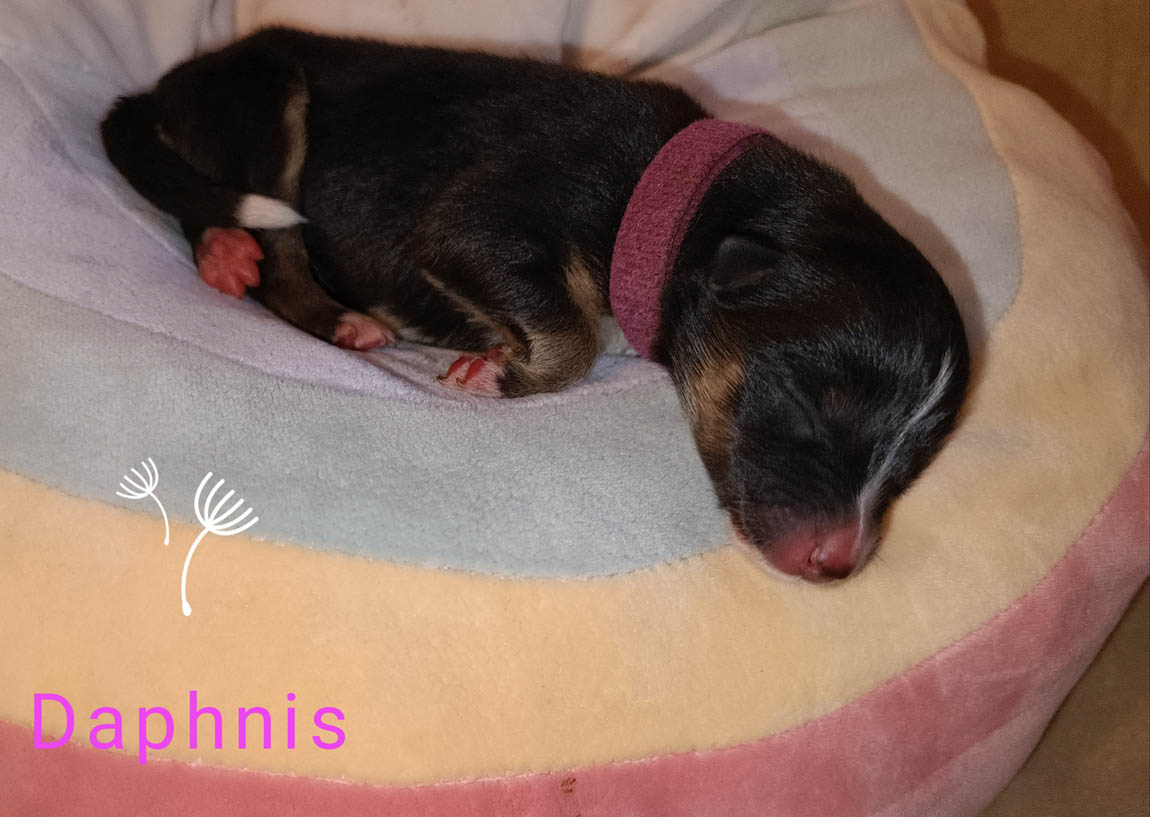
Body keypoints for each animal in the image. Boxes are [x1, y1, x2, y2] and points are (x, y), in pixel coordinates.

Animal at [101, 26, 970, 582]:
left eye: (915, 465)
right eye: (811, 407)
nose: (838, 563)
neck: (671, 194)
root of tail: (162, 86)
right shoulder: (474, 225)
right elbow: (572, 333)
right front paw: (493, 372)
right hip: (269, 95)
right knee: (267, 246)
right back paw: (276, 282)